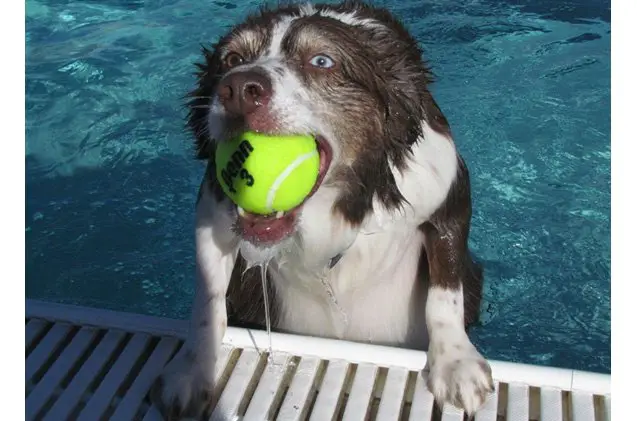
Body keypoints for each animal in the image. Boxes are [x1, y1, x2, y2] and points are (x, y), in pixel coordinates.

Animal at [150, 1, 492, 416]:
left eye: (322, 62)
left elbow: (446, 289)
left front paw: (455, 361)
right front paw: (192, 369)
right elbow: (208, 297)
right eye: (232, 59)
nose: (239, 89)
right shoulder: (213, 210)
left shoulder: (445, 190)